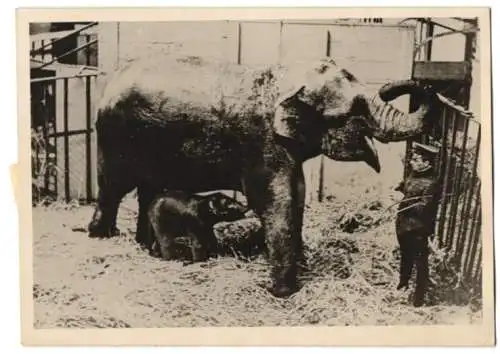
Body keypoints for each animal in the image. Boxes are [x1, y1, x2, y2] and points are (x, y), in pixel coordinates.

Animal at [88, 55, 436, 298]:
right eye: (355, 111)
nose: (423, 85)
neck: (285, 77)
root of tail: (110, 81)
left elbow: (298, 195)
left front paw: (302, 270)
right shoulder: (261, 144)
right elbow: (275, 201)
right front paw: (283, 293)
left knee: (148, 191)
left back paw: (144, 246)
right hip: (114, 137)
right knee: (113, 188)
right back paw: (100, 238)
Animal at [396, 142, 440, 306]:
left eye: (417, 157)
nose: (411, 160)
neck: (421, 175)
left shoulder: (430, 190)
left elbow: (421, 204)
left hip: (419, 241)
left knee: (422, 266)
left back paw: (418, 301)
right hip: (404, 240)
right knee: (406, 257)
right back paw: (402, 285)